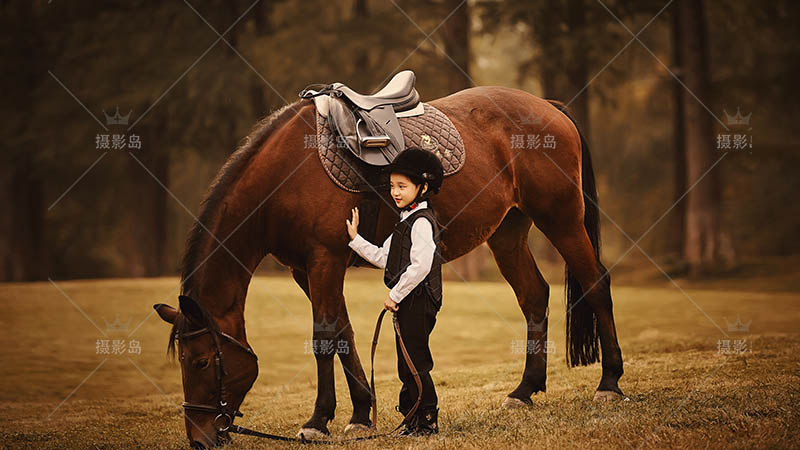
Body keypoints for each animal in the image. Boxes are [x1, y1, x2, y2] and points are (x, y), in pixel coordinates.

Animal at [152, 86, 624, 448]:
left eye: (200, 362)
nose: (200, 438)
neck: (285, 175)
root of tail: (548, 105)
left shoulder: (324, 260)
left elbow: (323, 338)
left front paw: (317, 421)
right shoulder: (308, 270)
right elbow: (343, 334)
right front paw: (361, 414)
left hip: (562, 221)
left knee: (596, 284)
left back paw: (610, 383)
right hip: (507, 234)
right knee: (533, 297)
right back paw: (524, 390)